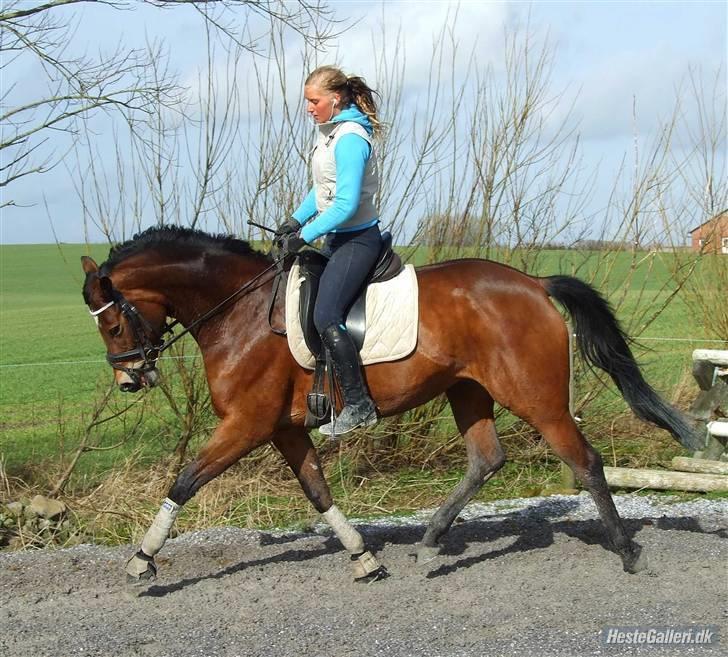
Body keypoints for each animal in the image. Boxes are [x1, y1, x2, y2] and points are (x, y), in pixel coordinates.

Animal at [79, 227, 700, 584]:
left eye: (112, 324)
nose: (131, 379)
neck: (242, 312)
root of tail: (533, 283)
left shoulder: (246, 424)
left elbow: (185, 480)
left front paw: (142, 559)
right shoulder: (284, 429)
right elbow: (318, 491)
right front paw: (363, 557)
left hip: (536, 398)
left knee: (586, 462)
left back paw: (627, 553)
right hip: (467, 390)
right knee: (486, 459)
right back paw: (428, 544)